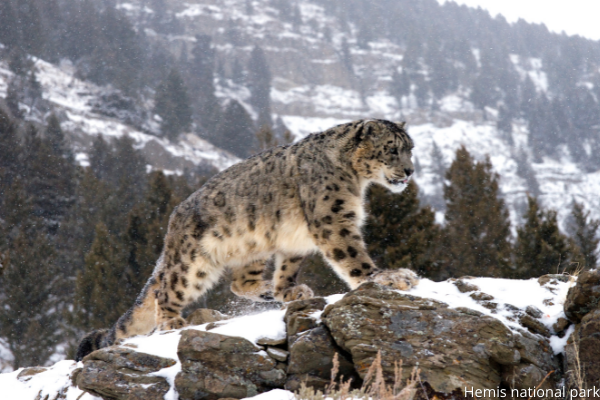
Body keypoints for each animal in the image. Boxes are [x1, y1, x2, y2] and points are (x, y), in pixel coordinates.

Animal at [76, 118, 418, 360]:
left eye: (410, 148)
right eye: (392, 149)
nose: (410, 171)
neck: (356, 181)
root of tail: (173, 221)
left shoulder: (296, 238)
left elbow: (288, 266)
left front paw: (288, 290)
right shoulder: (332, 219)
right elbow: (353, 257)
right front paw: (388, 277)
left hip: (254, 246)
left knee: (238, 282)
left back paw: (267, 290)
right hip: (192, 263)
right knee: (167, 289)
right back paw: (172, 321)